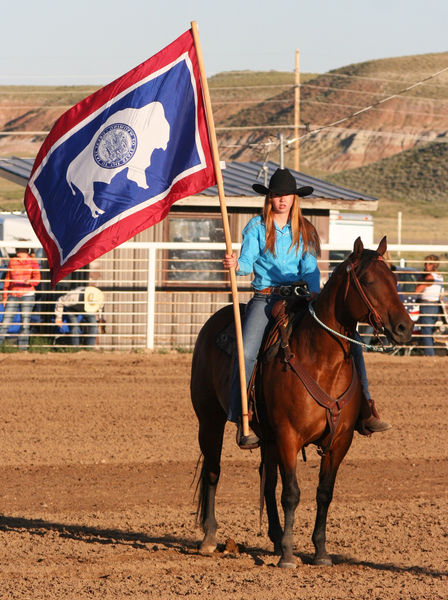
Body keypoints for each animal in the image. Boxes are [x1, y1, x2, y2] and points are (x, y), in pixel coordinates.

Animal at [189, 236, 412, 568]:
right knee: (214, 471)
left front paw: (319, 552)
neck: (321, 361)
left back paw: (274, 536)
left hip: (267, 437)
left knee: (267, 482)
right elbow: (292, 493)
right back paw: (210, 537)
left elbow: (323, 493)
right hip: (210, 421)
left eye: (395, 281)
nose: (404, 328)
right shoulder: (288, 436)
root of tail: (213, 323)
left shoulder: (339, 442)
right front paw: (288, 555)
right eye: (369, 281)